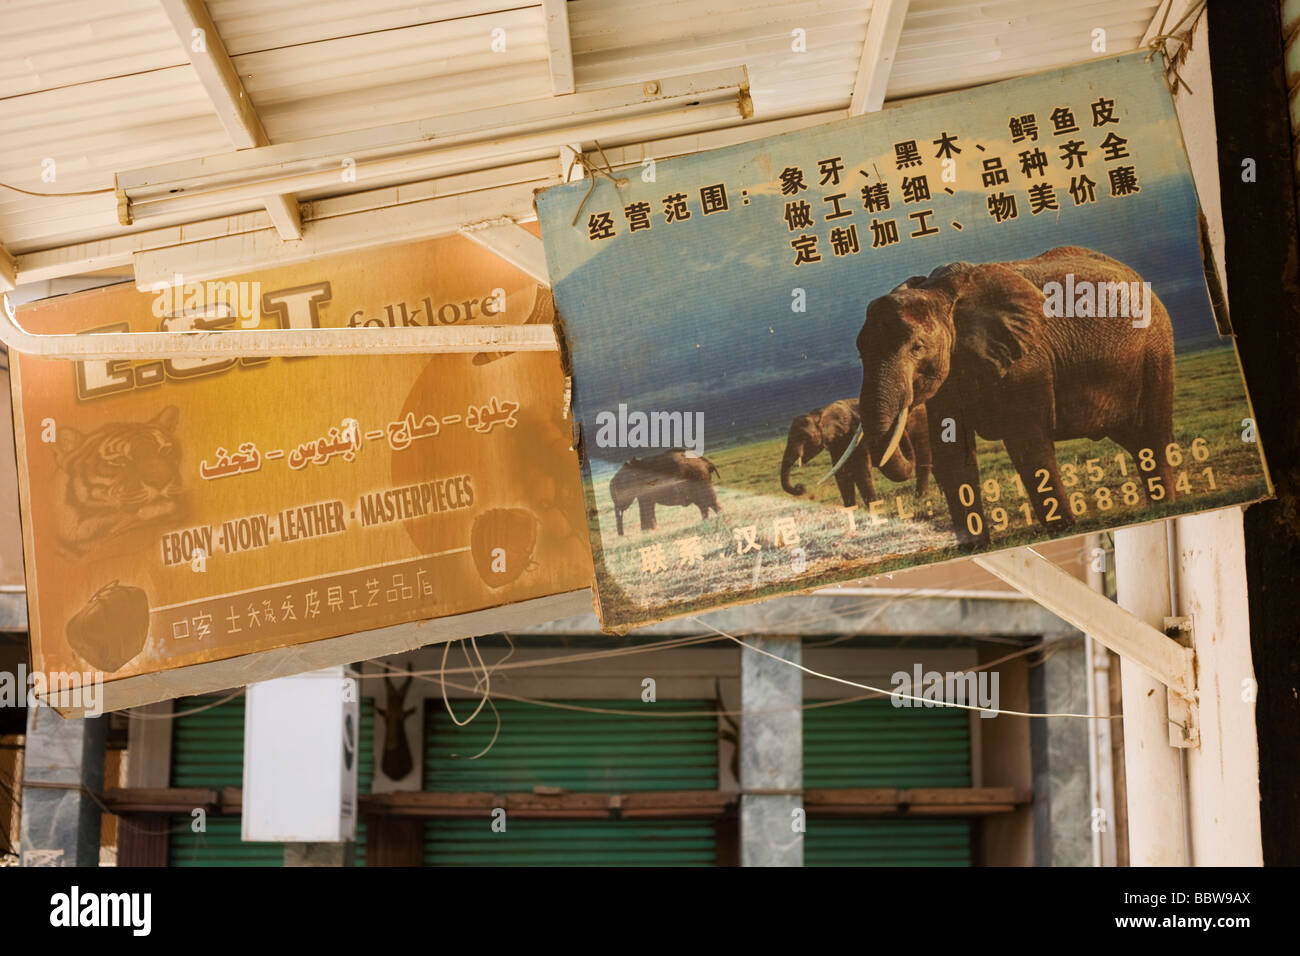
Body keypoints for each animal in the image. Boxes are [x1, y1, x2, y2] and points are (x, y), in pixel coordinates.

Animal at [774, 398, 930, 509]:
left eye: (805, 437)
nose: (801, 487)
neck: (821, 412)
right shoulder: (837, 443)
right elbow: (842, 474)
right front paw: (850, 509)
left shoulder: (857, 436)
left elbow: (860, 471)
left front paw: (875, 509)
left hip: (920, 424)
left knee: (923, 459)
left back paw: (920, 498)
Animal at [852, 243, 1180, 548]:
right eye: (860, 352)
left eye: (918, 347)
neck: (940, 294)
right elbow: (952, 452)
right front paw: (975, 548)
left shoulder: (1027, 363)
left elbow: (1027, 445)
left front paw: (1063, 529)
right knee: (1135, 440)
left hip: (1156, 348)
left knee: (1153, 435)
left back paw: (1165, 506)